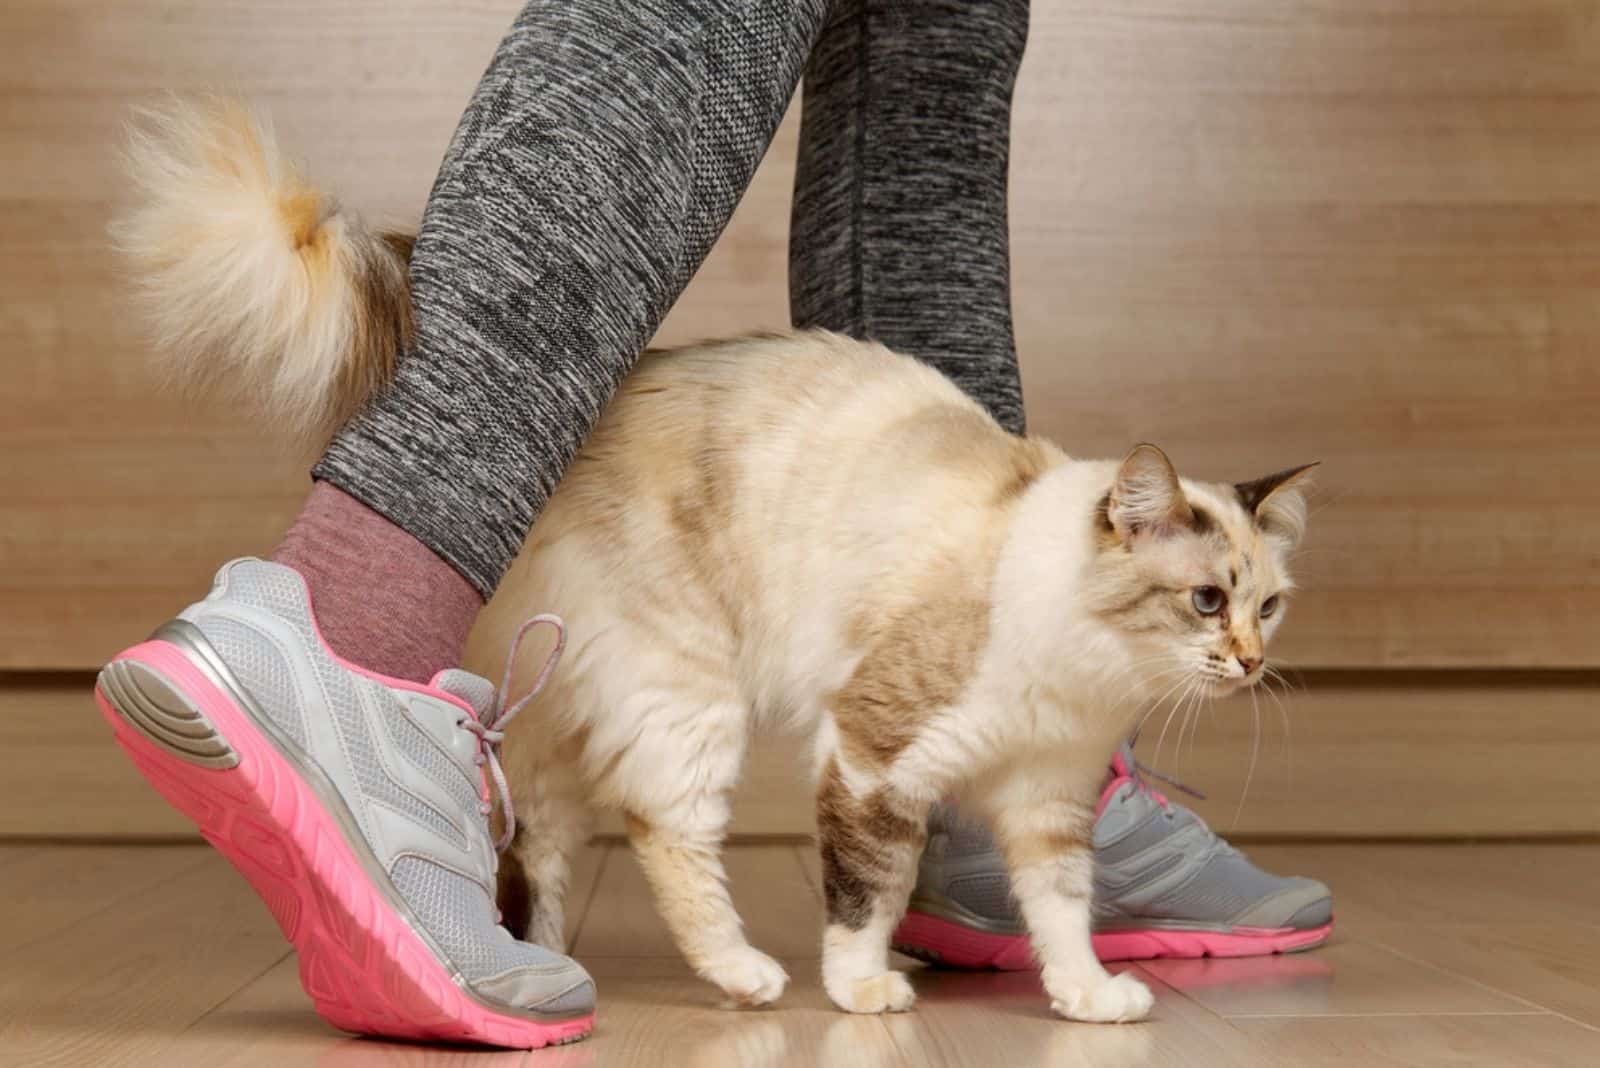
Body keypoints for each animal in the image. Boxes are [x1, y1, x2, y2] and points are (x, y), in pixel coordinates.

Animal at [116, 99, 1312, 1023]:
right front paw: (861, 993)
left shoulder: (1047, 803)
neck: (1083, 671)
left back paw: (545, 956)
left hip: (570, 718)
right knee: (665, 836)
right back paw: (733, 976)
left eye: (1269, 607)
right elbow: (867, 895)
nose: (1251, 665)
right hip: (686, 694)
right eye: (1205, 600)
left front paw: (1086, 998)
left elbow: (1061, 913)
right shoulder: (874, 755)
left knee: (542, 843)